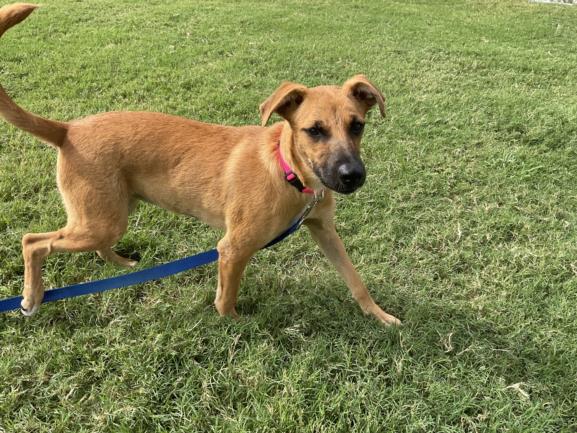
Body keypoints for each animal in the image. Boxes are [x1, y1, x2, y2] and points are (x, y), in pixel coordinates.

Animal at [0, 3, 400, 324]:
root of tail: (68, 129)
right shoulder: (233, 248)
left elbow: (355, 280)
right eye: (314, 130)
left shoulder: (324, 230)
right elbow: (226, 299)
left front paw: (379, 316)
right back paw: (32, 297)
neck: (288, 171)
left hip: (110, 213)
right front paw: (236, 326)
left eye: (357, 125)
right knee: (33, 241)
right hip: (99, 220)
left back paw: (122, 265)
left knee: (92, 244)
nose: (353, 177)